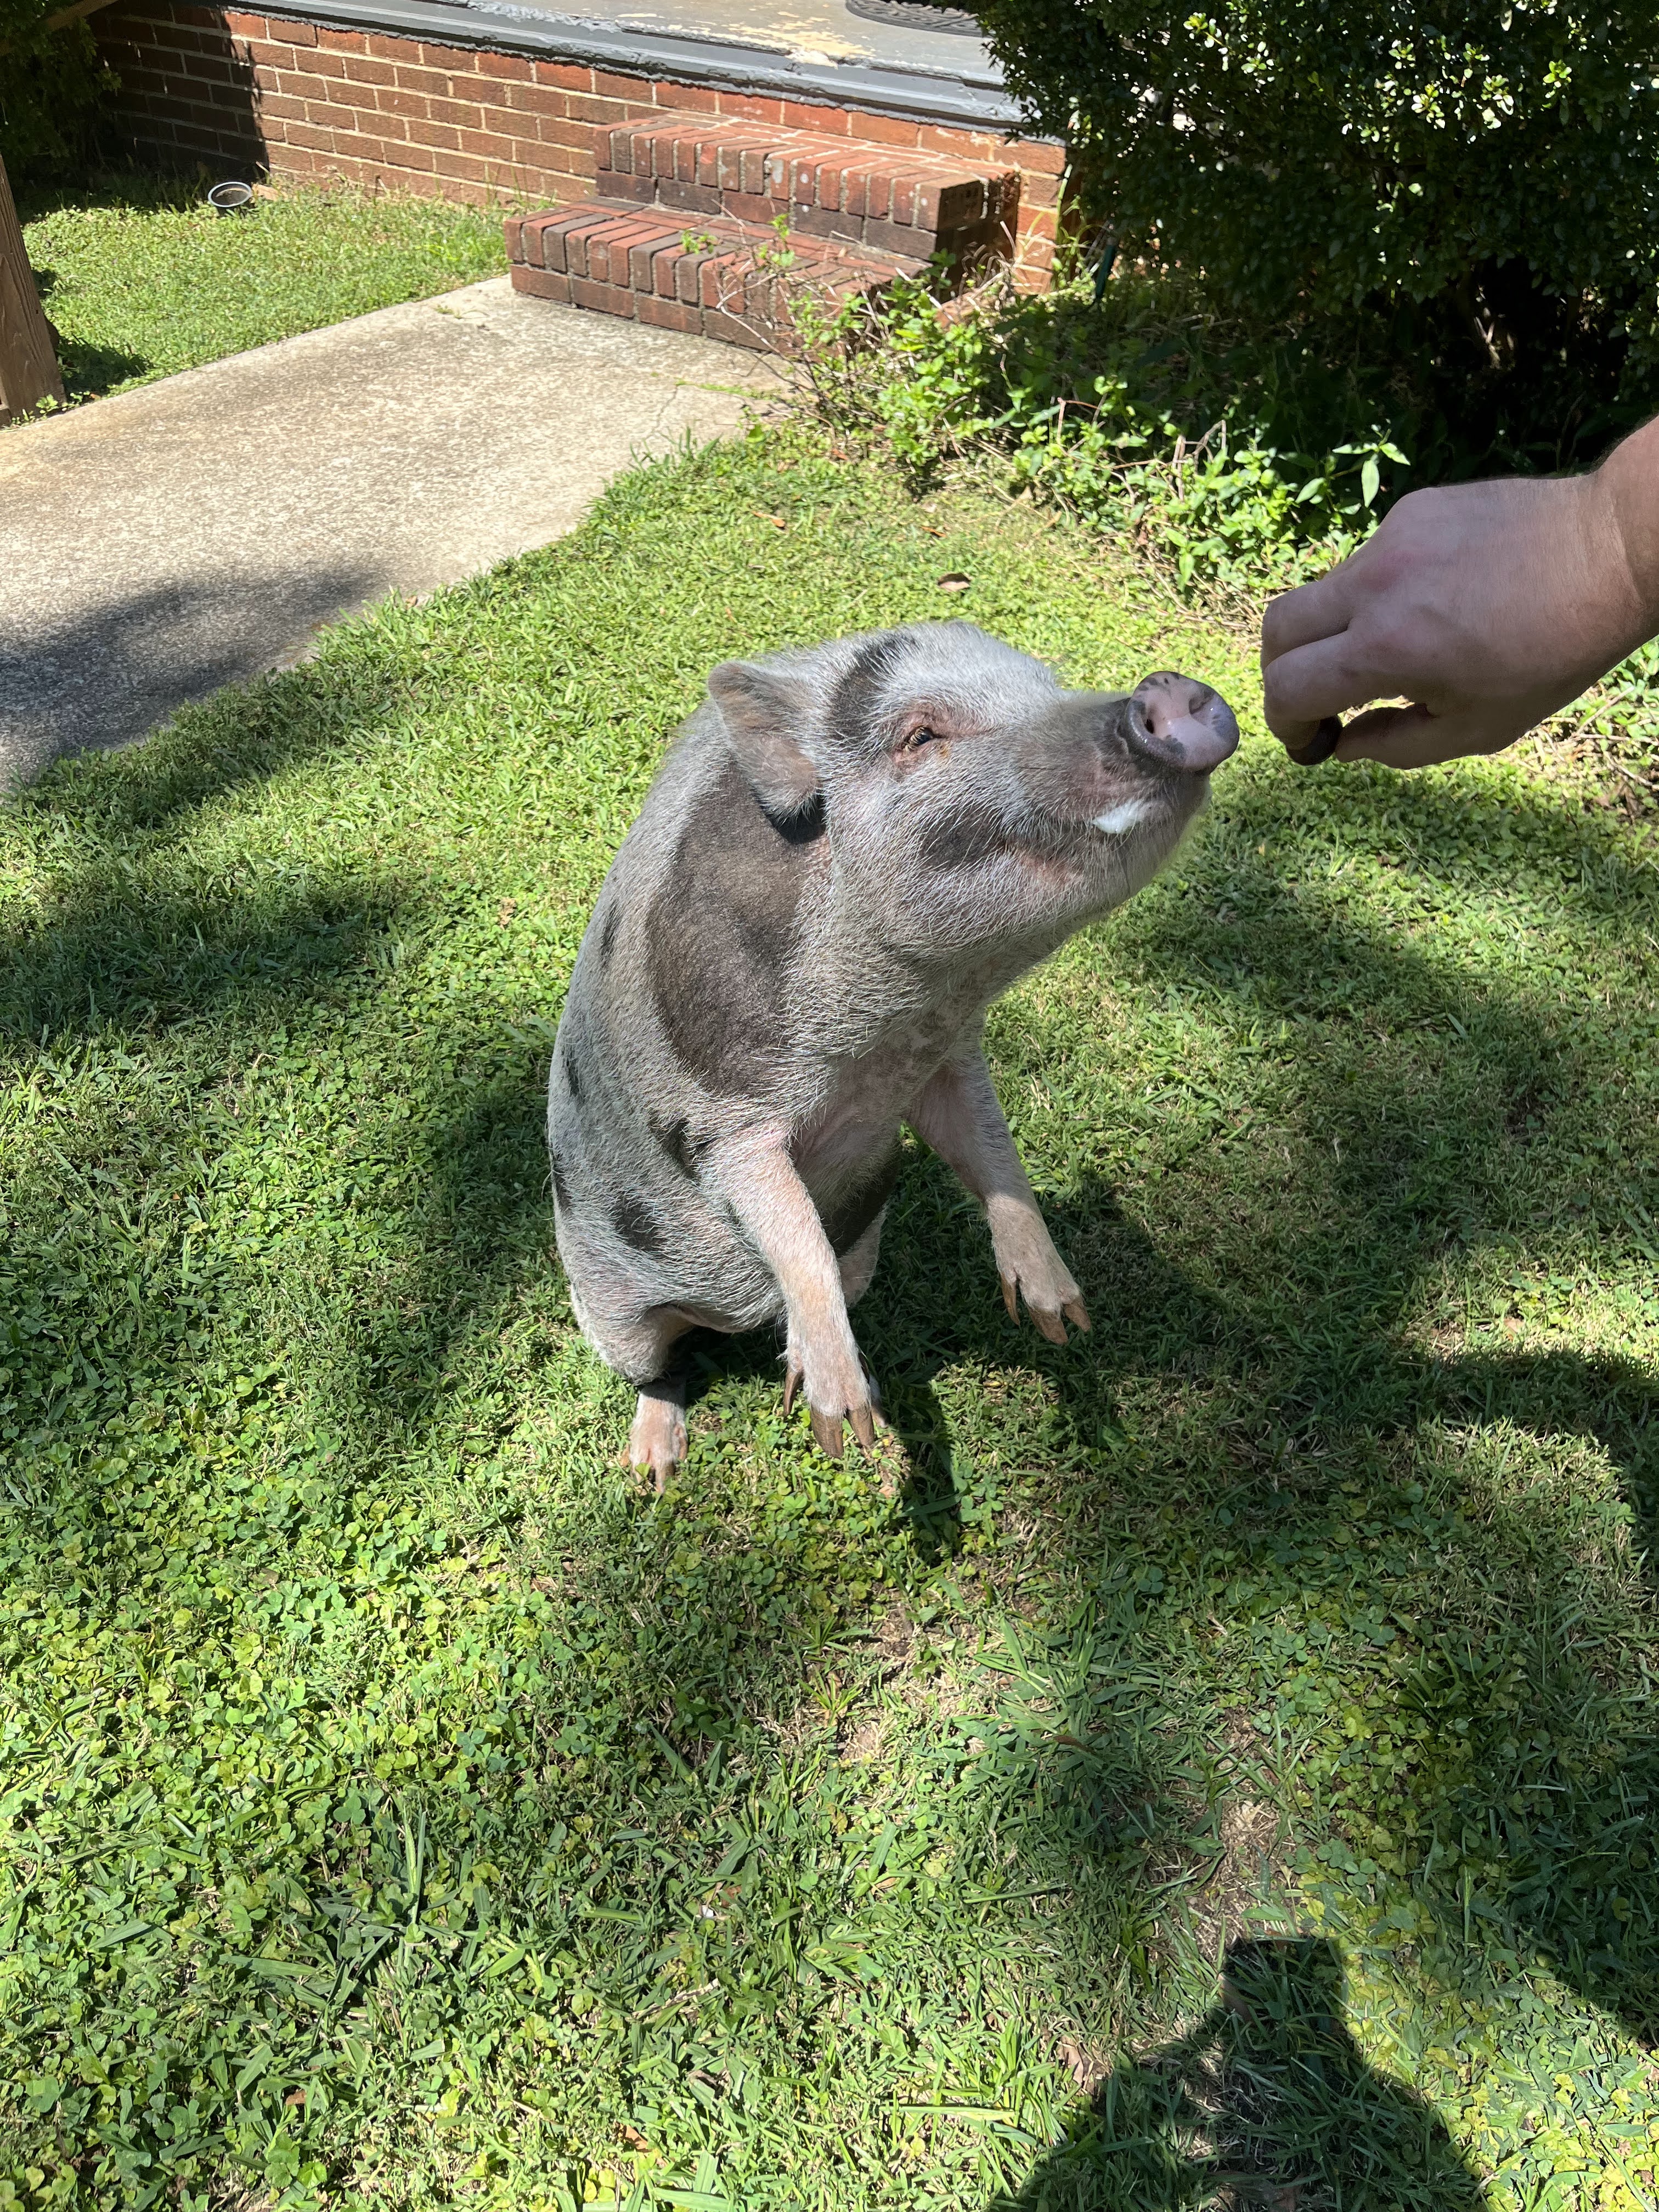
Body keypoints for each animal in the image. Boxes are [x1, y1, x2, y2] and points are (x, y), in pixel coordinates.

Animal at [547, 621, 1238, 1486]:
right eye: (921, 735)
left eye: (1046, 686)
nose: (1167, 692)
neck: (896, 1024)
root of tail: (732, 1321)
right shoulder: (715, 1125)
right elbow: (793, 1230)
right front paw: (844, 1433)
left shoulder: (946, 1062)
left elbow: (994, 1158)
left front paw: (1062, 1322)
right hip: (608, 1306)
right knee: (659, 1368)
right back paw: (655, 1471)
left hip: (862, 1258)